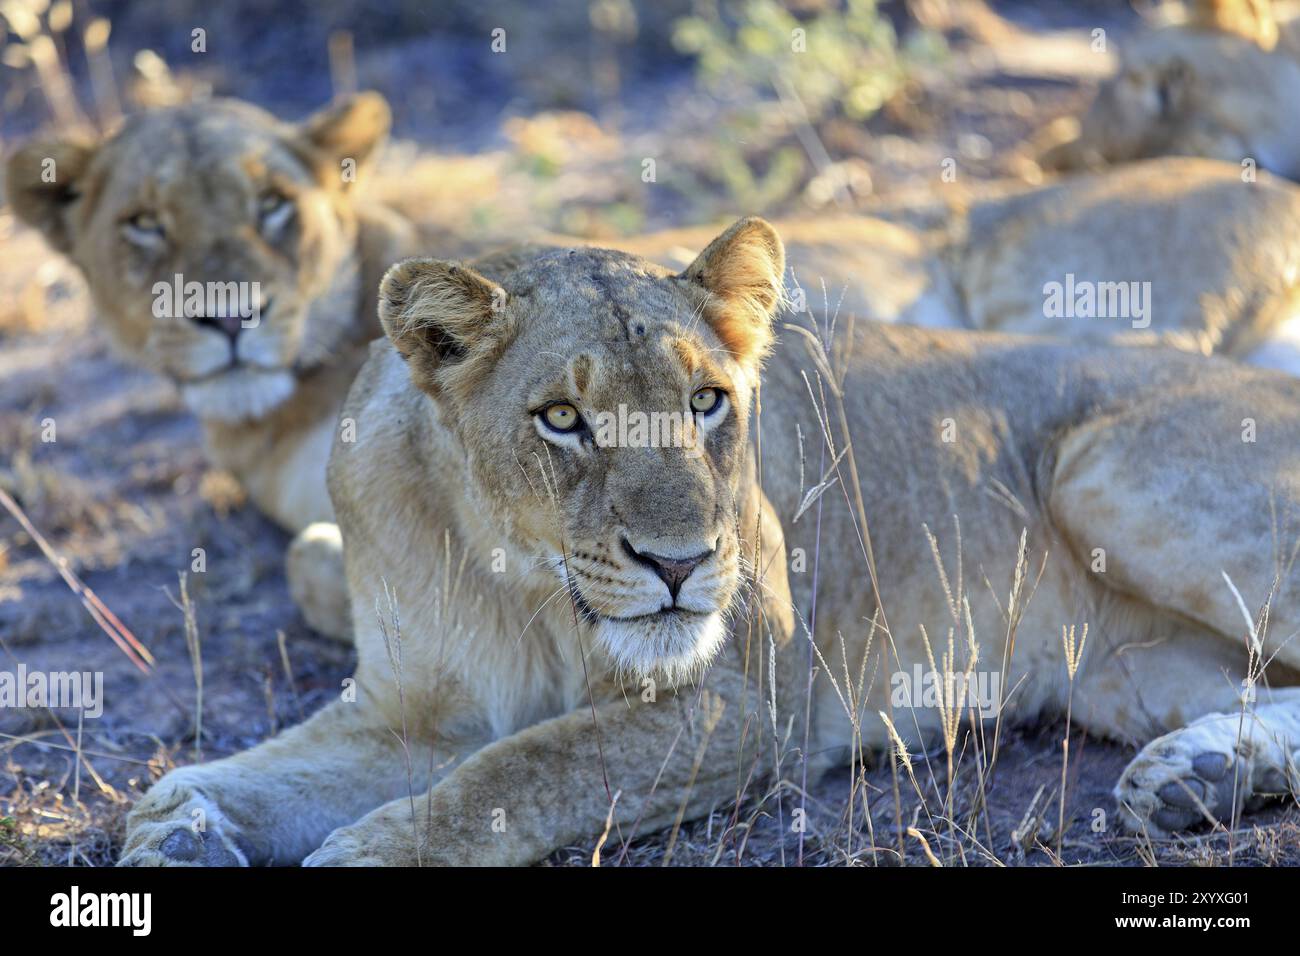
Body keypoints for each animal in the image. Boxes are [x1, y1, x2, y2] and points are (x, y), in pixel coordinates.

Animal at [116, 219, 1300, 866]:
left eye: (706, 402)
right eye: (562, 418)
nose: (680, 564)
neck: (511, 575)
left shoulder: (739, 704)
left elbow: (524, 767)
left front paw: (369, 849)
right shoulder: (409, 709)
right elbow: (265, 767)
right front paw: (178, 825)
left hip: (1100, 471)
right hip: (1122, 669)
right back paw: (1199, 774)